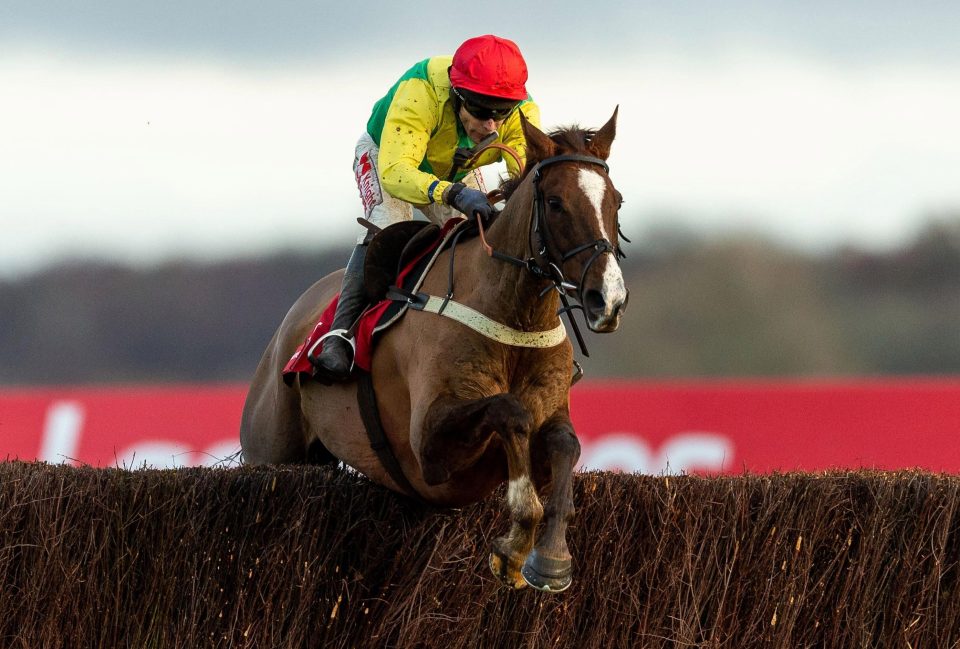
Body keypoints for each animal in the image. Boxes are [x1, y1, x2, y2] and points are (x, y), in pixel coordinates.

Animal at [240, 107, 632, 592]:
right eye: (556, 202)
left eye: (616, 201)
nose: (608, 299)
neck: (512, 316)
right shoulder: (429, 450)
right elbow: (510, 411)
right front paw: (515, 544)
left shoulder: (551, 414)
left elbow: (566, 445)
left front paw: (552, 559)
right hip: (270, 449)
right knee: (382, 223)